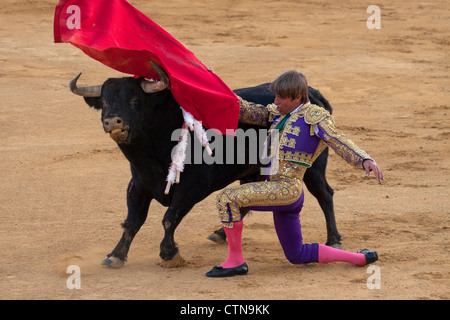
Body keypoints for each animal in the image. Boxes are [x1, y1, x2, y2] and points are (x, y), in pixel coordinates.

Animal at [69, 72, 342, 268]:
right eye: (104, 101)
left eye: (136, 100)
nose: (112, 121)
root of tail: (313, 95)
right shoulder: (138, 186)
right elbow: (132, 221)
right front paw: (116, 255)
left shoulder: (192, 187)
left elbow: (169, 218)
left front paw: (169, 254)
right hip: (253, 170)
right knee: (247, 199)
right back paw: (220, 233)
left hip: (313, 168)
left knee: (325, 194)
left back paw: (334, 240)